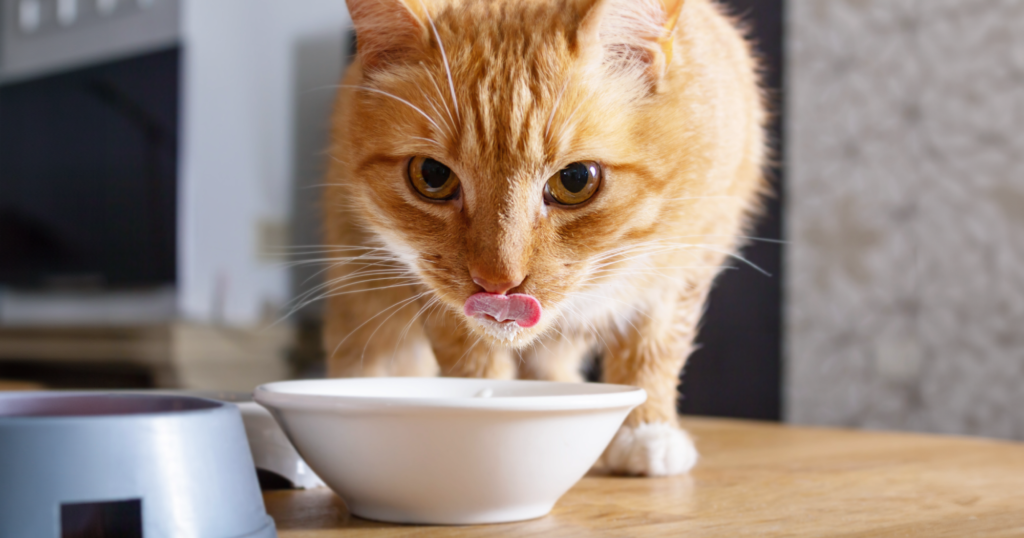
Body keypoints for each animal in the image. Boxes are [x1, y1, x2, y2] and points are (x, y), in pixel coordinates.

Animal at [317, 0, 761, 475]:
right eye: (432, 176)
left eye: (576, 179)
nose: (497, 283)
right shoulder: (427, 287)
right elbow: (473, 362)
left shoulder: (684, 267)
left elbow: (653, 351)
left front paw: (644, 429)